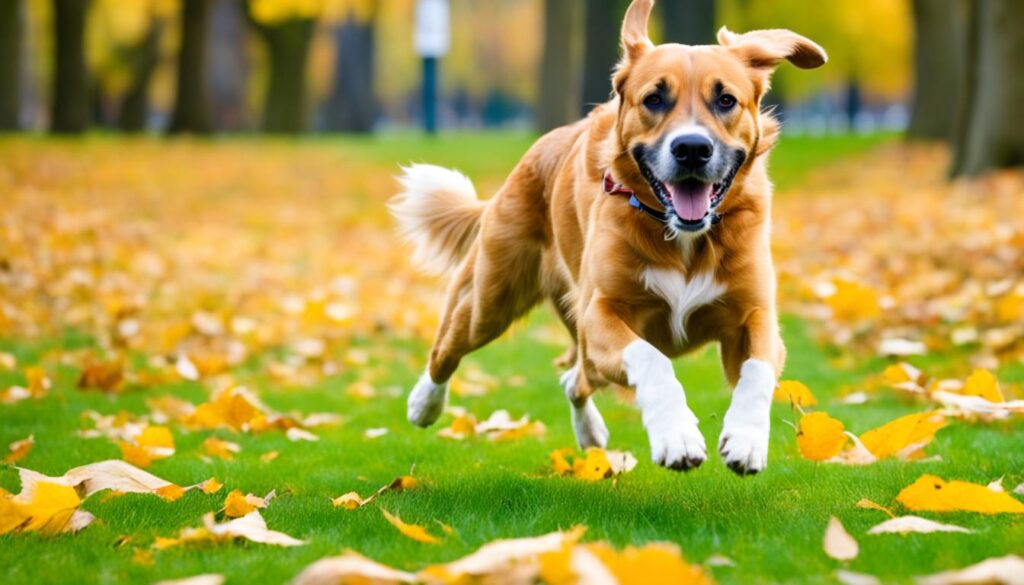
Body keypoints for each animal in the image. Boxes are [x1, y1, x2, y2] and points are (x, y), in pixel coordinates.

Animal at [387, 0, 827, 475]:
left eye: (726, 99)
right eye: (654, 98)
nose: (692, 148)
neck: (681, 237)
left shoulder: (754, 314)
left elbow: (758, 369)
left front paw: (746, 439)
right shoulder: (600, 312)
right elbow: (652, 359)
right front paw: (677, 436)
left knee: (574, 378)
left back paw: (590, 432)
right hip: (491, 299)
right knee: (447, 349)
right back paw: (423, 404)